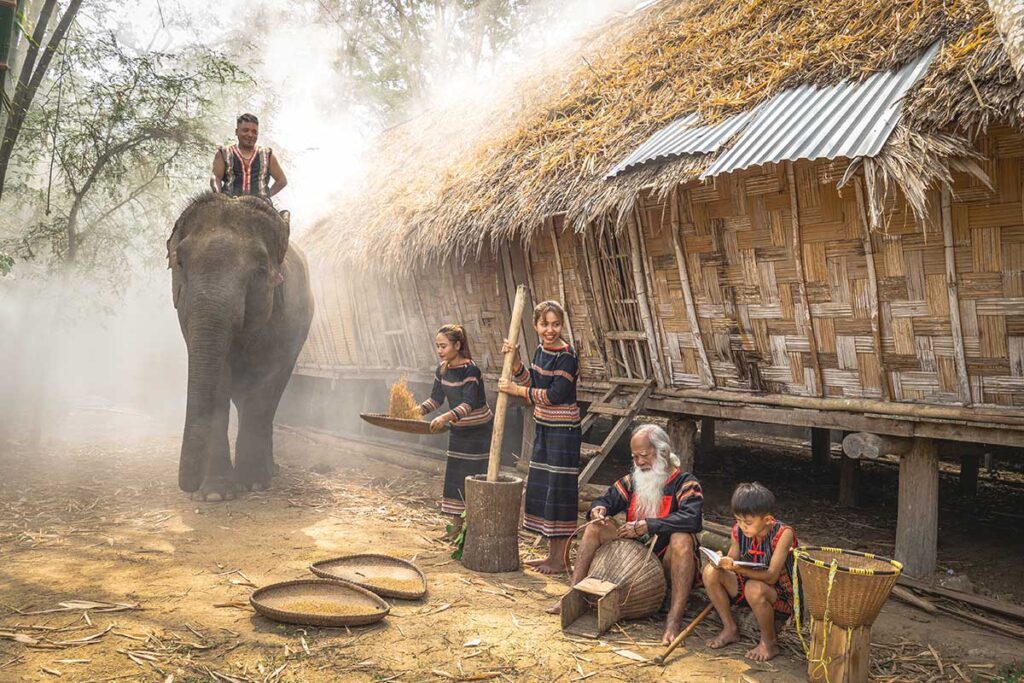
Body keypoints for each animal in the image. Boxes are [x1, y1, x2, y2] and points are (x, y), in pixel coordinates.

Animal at [167, 193, 313, 501]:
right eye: (180, 262)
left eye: (260, 270)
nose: (188, 486)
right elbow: (219, 380)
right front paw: (214, 494)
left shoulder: (285, 318)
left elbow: (266, 381)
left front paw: (253, 484)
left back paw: (269, 472)